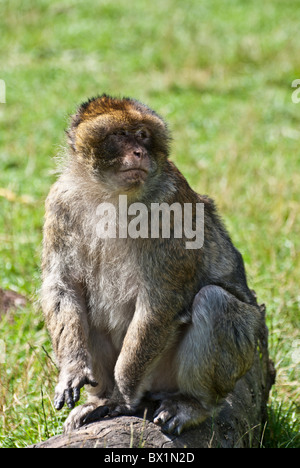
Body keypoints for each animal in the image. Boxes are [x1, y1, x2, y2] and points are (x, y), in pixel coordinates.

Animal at [41, 95, 262, 436]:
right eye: (120, 135)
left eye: (143, 135)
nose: (139, 152)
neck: (110, 195)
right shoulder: (59, 204)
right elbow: (62, 288)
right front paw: (73, 370)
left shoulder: (170, 208)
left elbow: (160, 302)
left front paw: (123, 391)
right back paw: (101, 400)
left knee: (216, 301)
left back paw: (190, 404)